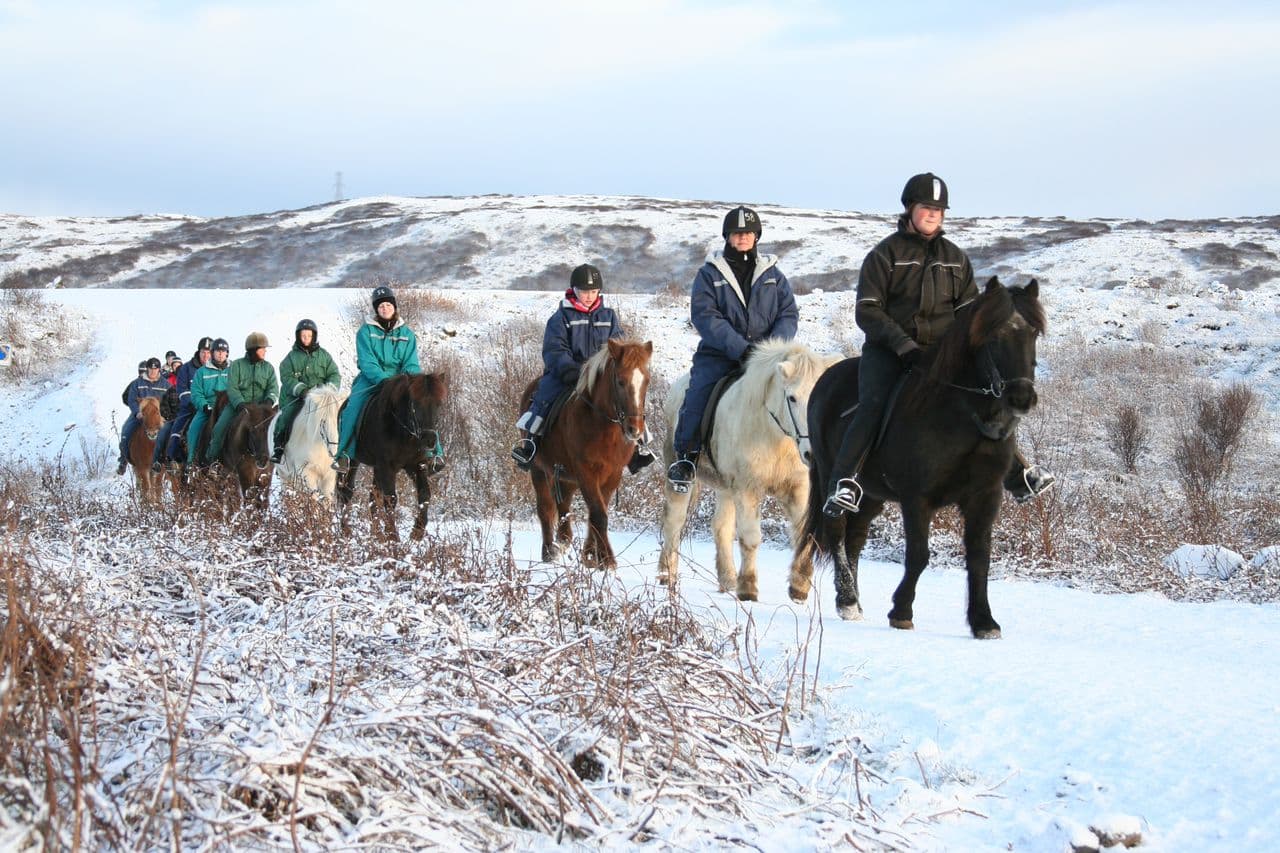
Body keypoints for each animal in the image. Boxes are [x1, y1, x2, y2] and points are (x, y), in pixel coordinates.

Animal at [335, 372, 448, 542]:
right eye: (414, 404)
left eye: (439, 404)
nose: (429, 439)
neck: (404, 433)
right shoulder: (387, 467)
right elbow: (390, 499)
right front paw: (393, 536)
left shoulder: (418, 465)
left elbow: (424, 494)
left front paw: (417, 532)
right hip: (354, 461)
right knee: (346, 493)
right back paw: (346, 532)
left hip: (377, 469)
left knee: (373, 496)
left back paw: (376, 535)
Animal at [519, 338, 653, 569]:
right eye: (620, 381)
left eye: (646, 381)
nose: (634, 429)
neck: (604, 427)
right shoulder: (586, 472)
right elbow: (598, 515)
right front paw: (607, 560)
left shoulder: (612, 474)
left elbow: (597, 513)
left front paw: (590, 556)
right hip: (539, 469)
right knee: (545, 509)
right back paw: (549, 552)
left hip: (565, 476)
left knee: (563, 505)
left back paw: (564, 539)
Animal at [658, 339, 839, 600]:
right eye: (792, 398)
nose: (812, 454)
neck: (776, 437)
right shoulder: (747, 488)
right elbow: (750, 537)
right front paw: (748, 588)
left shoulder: (797, 488)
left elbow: (805, 533)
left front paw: (799, 586)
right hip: (680, 476)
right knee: (674, 522)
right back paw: (667, 574)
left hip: (725, 487)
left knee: (721, 527)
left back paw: (727, 579)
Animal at [795, 277, 1046, 639]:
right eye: (994, 333)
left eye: (1033, 332)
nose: (1021, 398)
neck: (963, 418)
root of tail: (825, 380)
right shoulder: (917, 499)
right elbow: (918, 555)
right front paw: (901, 611)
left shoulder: (985, 497)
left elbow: (979, 557)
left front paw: (984, 621)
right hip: (832, 473)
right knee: (837, 529)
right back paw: (846, 599)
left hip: (870, 493)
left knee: (856, 538)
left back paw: (854, 601)